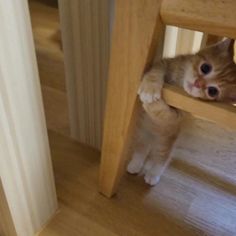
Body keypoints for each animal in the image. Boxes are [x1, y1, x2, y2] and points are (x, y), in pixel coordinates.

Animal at [127, 39, 236, 186]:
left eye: (213, 91)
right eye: (205, 68)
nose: (197, 83)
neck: (179, 83)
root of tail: (154, 137)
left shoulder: (180, 115)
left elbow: (166, 114)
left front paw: (153, 105)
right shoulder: (166, 63)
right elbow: (156, 71)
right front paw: (150, 87)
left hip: (166, 141)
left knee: (161, 157)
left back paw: (153, 174)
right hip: (142, 133)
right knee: (141, 148)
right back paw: (135, 164)